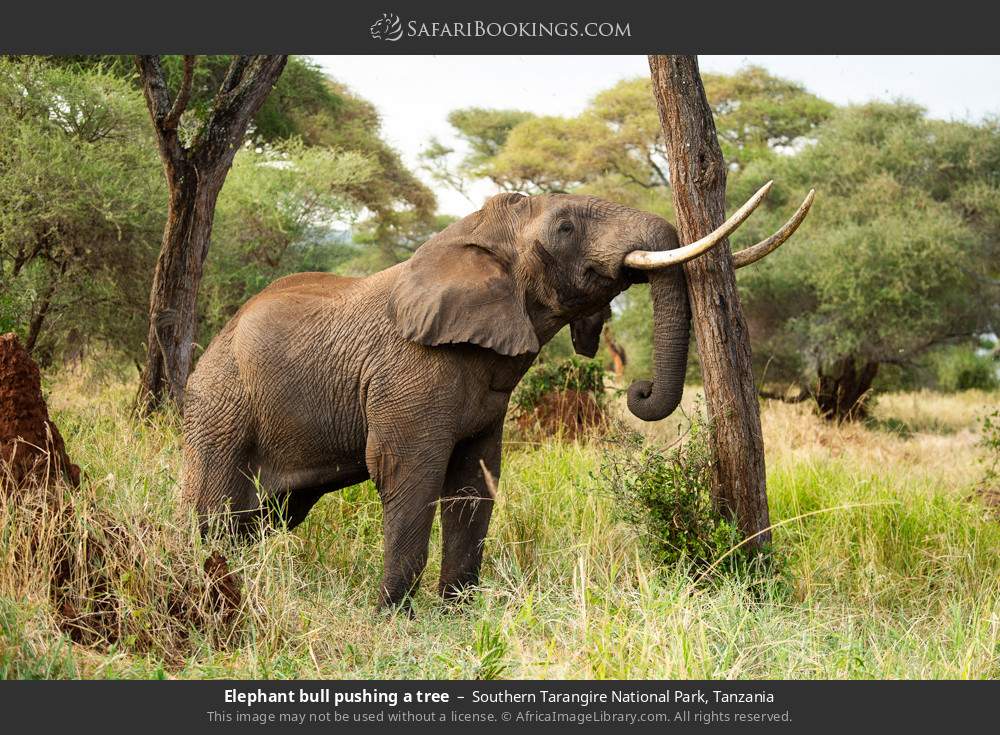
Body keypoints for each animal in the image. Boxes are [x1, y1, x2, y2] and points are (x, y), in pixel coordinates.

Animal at [181, 182, 813, 609]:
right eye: (565, 229)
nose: (639, 390)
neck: (474, 238)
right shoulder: (407, 374)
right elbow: (409, 474)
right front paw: (392, 615)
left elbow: (475, 481)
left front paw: (456, 611)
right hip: (219, 403)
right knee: (214, 513)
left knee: (261, 519)